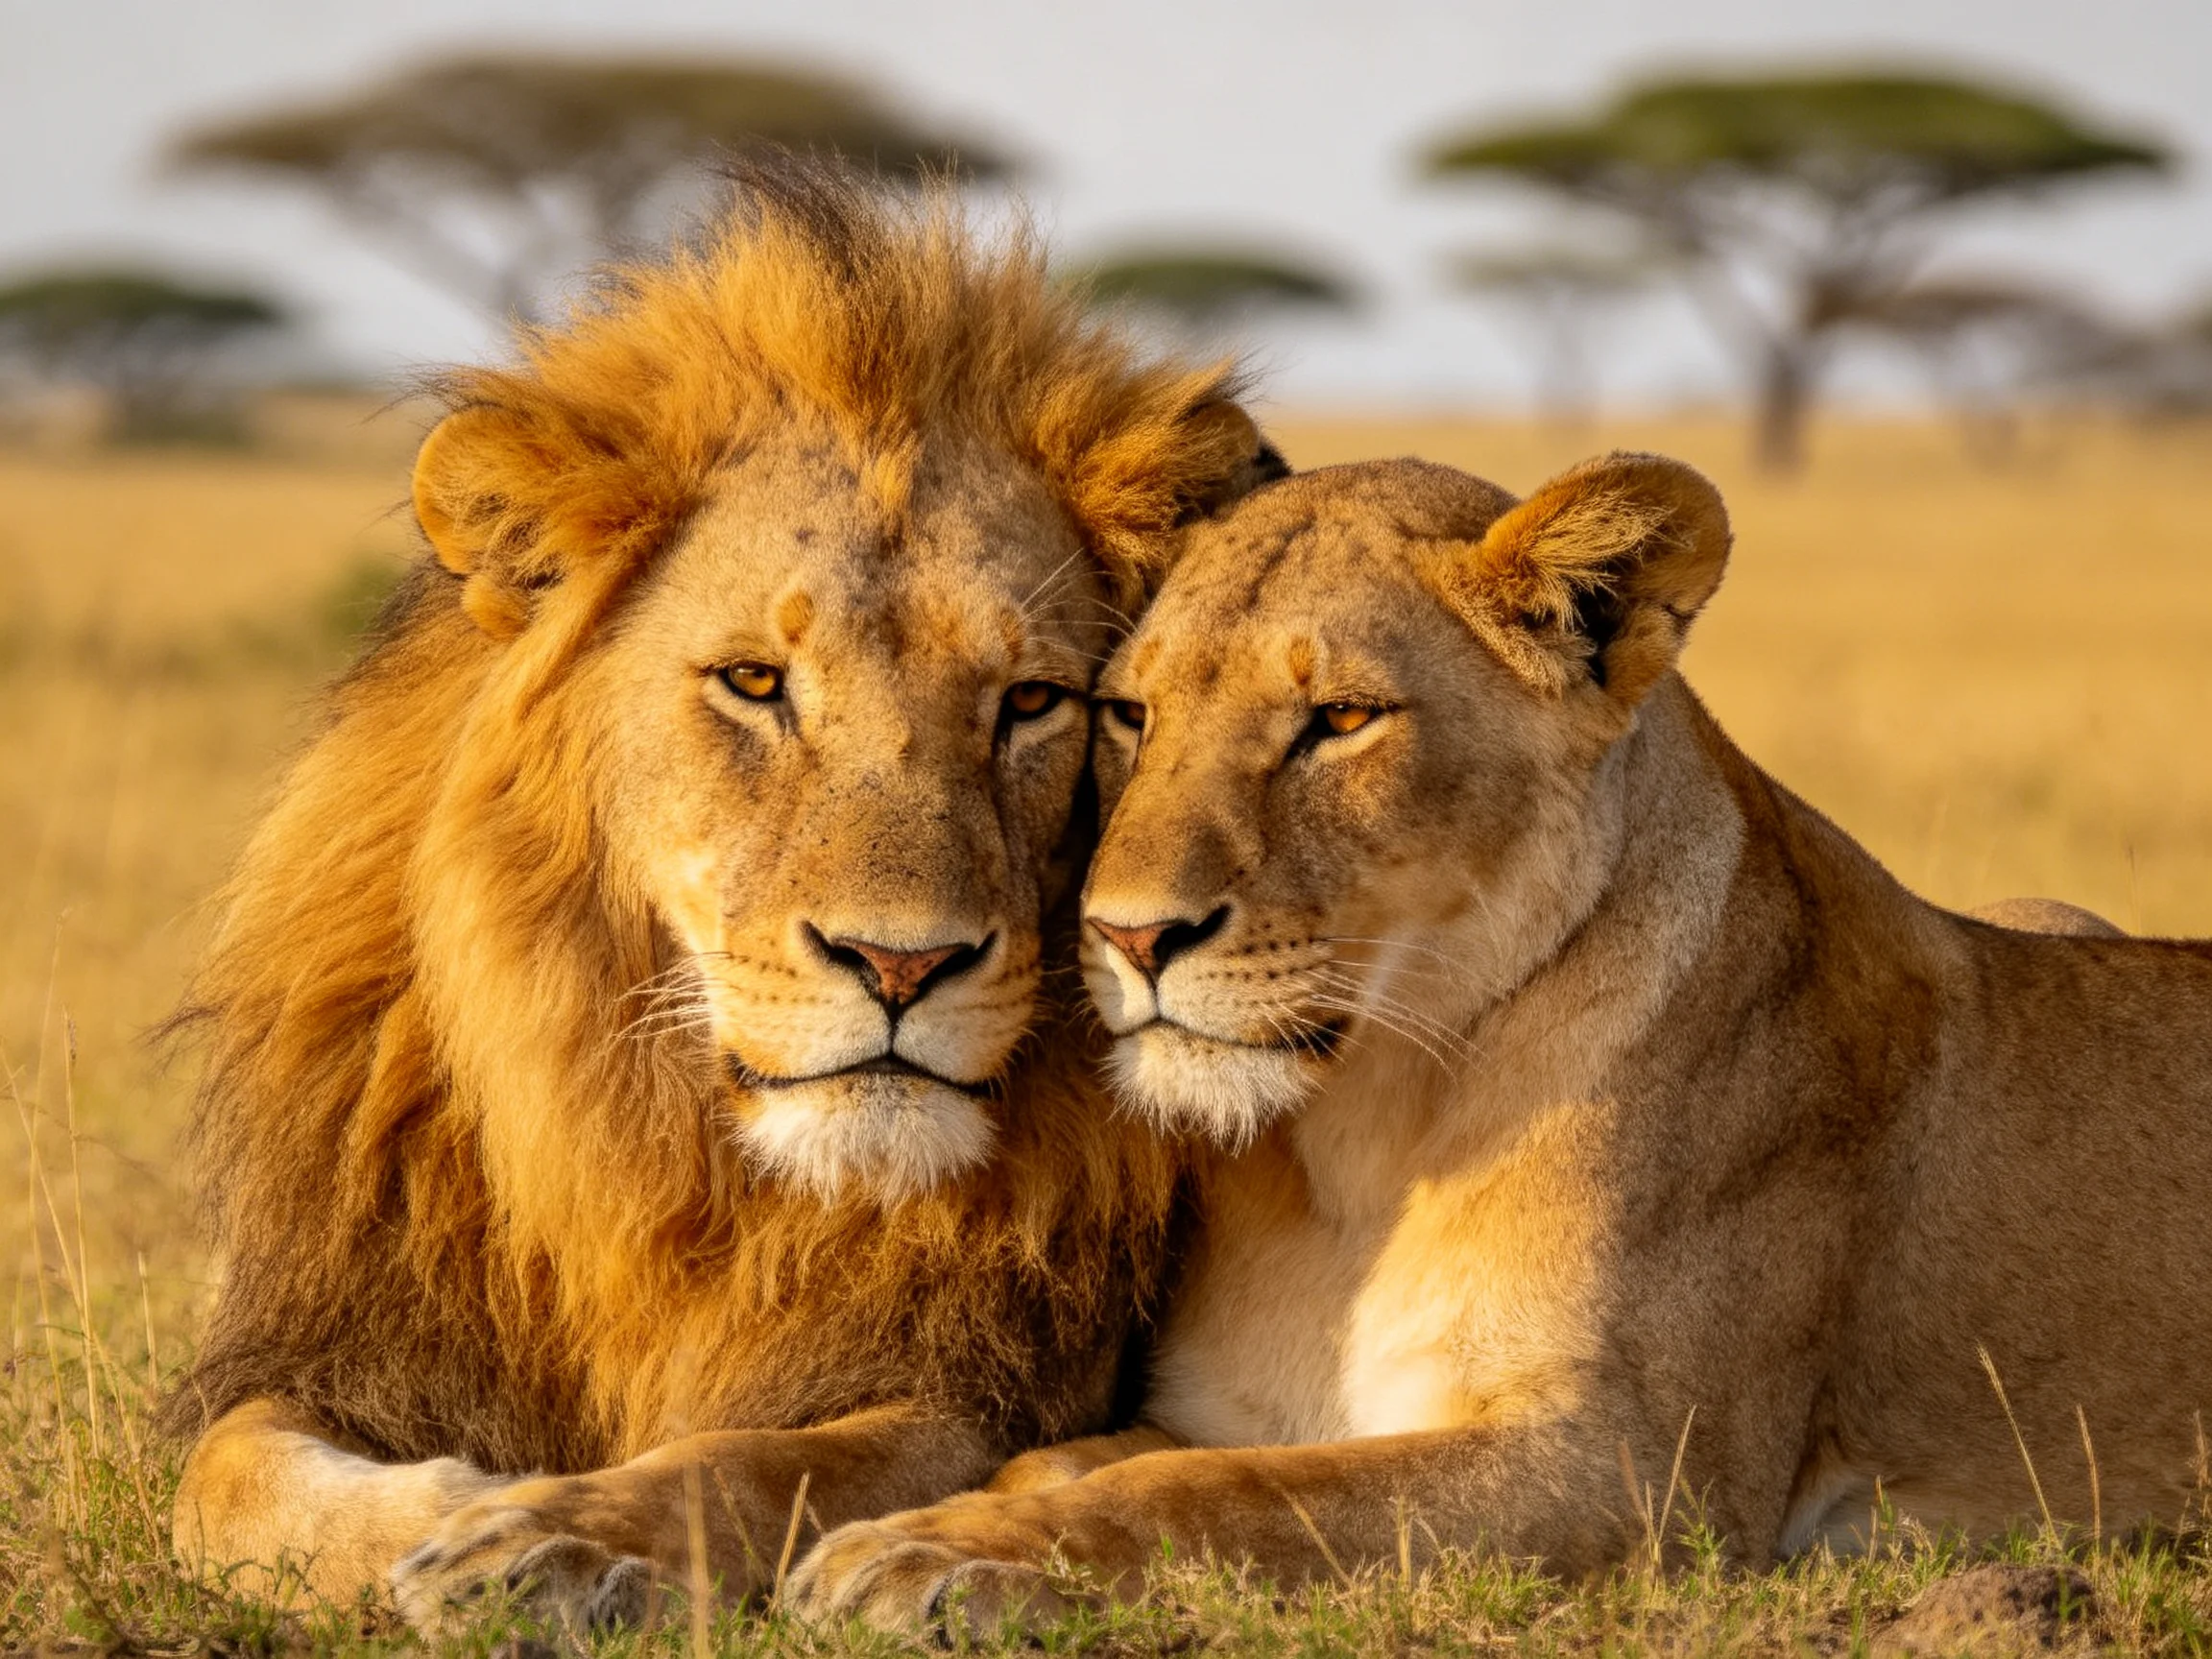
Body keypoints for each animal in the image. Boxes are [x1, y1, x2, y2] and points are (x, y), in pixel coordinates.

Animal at [161, 160, 1283, 1631]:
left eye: (1034, 701)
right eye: (756, 683)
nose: (903, 967)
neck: (684, 1164)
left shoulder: (987, 1390)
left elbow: (753, 1462)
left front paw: (551, 1536)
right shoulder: (343, 1328)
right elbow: (220, 1483)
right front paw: (445, 1505)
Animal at [793, 453, 2212, 1631]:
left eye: (1341, 721)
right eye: (1130, 716)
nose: (1129, 936)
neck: (1363, 1137)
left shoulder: (1630, 1471)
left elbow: (1234, 1499)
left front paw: (931, 1556)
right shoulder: (1223, 1410)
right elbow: (1103, 1461)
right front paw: (959, 1513)